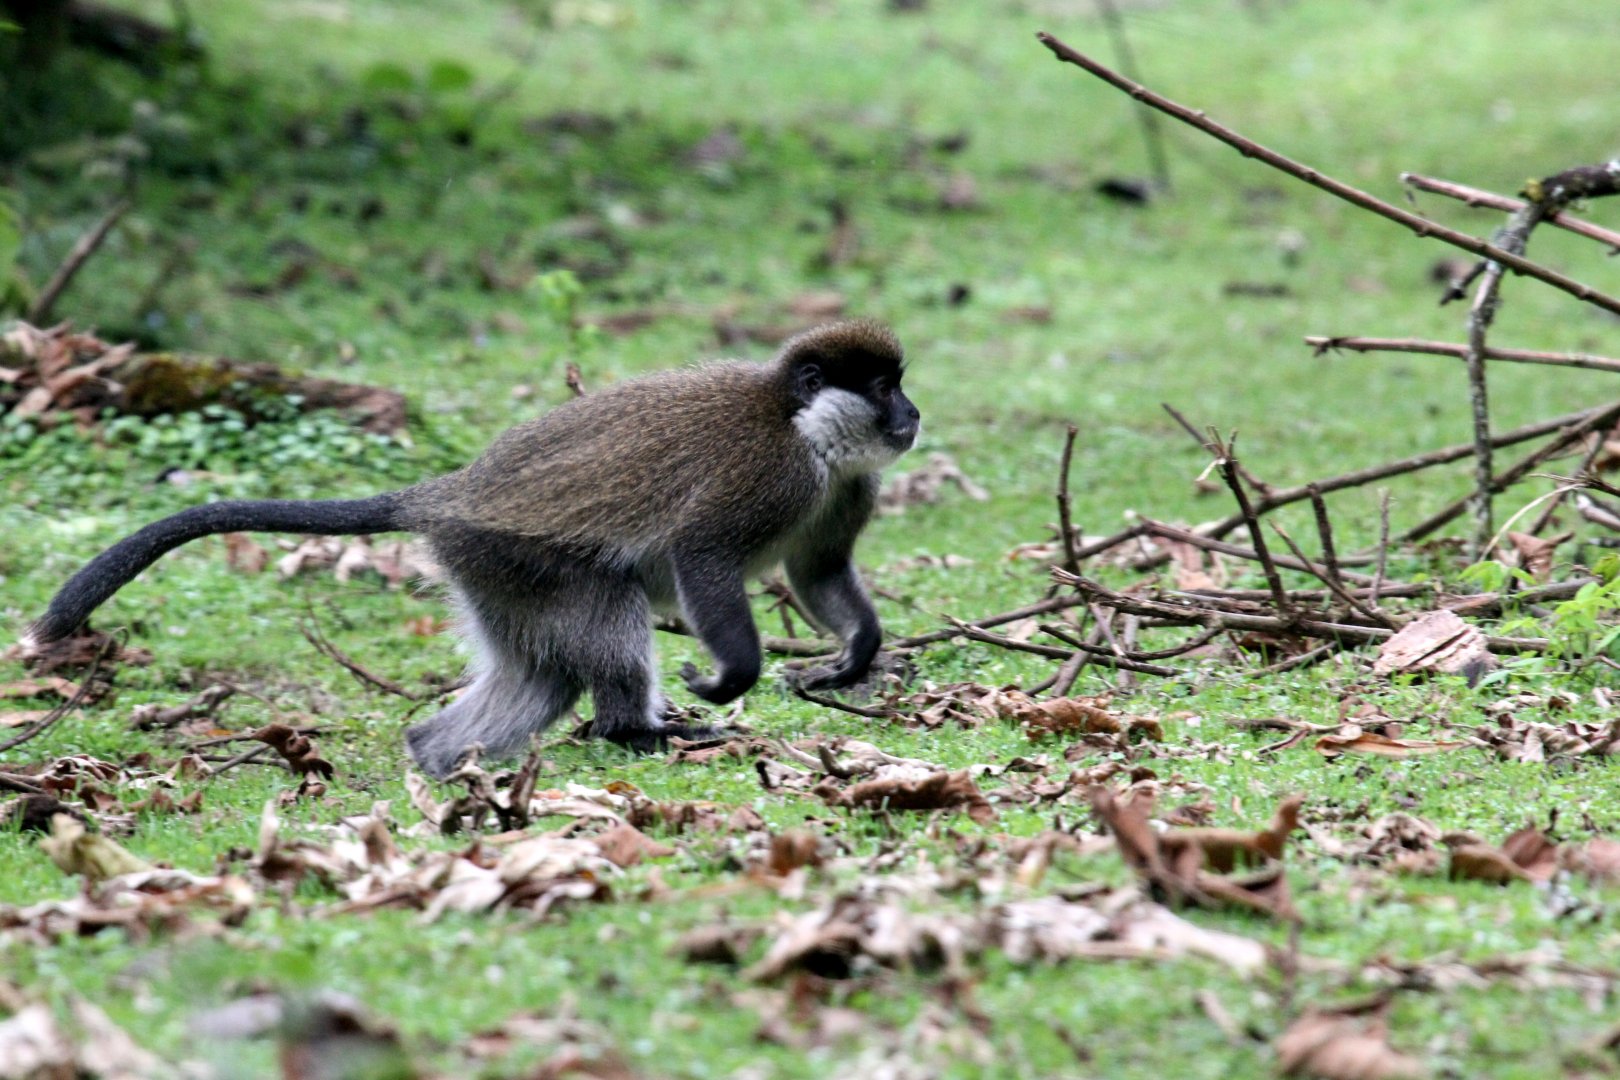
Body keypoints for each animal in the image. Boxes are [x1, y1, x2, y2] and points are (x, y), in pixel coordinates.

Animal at [22, 320, 920, 777]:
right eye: (883, 387)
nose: (912, 415)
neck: (805, 431)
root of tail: (451, 494)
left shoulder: (844, 488)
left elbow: (817, 567)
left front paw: (854, 655)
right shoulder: (771, 477)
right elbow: (702, 554)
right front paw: (732, 677)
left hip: (490, 569)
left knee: (543, 675)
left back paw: (439, 762)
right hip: (518, 554)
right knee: (609, 623)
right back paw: (633, 732)